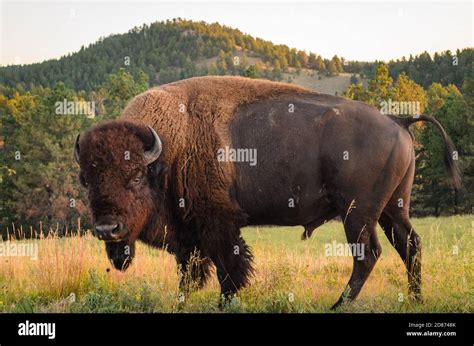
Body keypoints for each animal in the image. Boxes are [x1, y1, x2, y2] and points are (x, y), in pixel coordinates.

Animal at [73, 76, 460, 308]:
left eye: (136, 177)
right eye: (87, 180)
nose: (107, 229)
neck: (170, 150)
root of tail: (398, 121)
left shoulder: (219, 225)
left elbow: (230, 270)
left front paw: (225, 304)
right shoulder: (189, 234)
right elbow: (189, 274)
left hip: (358, 213)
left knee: (369, 254)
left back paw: (338, 306)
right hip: (393, 208)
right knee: (410, 245)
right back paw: (415, 300)